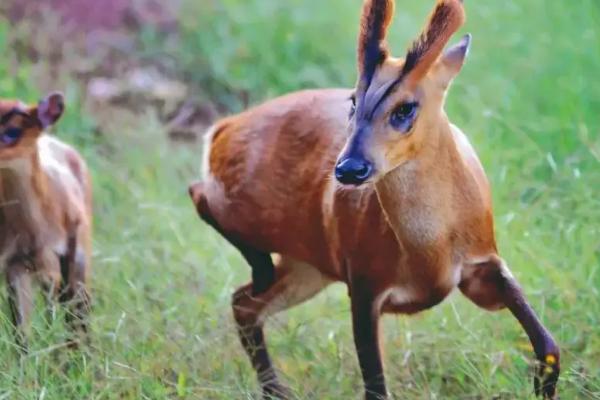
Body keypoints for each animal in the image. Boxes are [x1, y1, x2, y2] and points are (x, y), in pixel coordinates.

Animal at [0, 92, 91, 348]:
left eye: (12, 131)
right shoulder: (12, 263)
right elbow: (20, 329)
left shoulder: (52, 259)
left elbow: (52, 314)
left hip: (79, 251)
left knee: (78, 306)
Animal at [190, 1, 560, 398]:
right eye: (353, 101)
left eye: (405, 108)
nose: (349, 169)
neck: (428, 253)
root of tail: (223, 128)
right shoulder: (364, 282)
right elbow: (375, 386)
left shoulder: (482, 263)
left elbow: (548, 344)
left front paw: (543, 385)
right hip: (255, 216)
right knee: (201, 198)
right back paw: (260, 273)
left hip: (308, 266)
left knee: (244, 303)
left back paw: (276, 387)